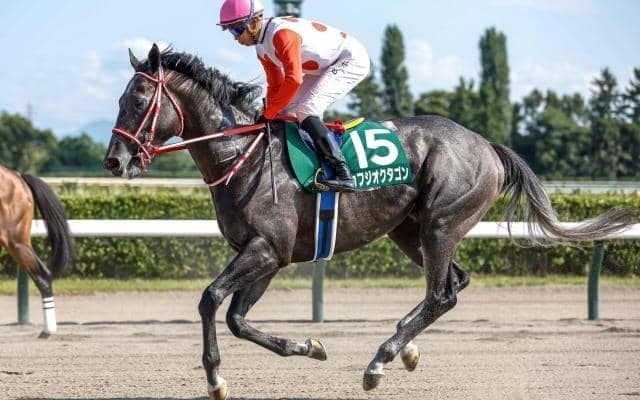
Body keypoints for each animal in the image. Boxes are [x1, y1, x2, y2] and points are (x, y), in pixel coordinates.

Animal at [104, 44, 636, 400]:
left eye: (138, 101)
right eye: (119, 101)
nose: (114, 160)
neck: (245, 156)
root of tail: (486, 144)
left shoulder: (266, 249)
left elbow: (211, 299)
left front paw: (216, 378)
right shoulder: (269, 256)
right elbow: (238, 318)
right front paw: (310, 346)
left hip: (440, 224)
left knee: (441, 293)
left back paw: (380, 360)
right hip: (410, 231)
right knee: (453, 285)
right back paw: (405, 349)